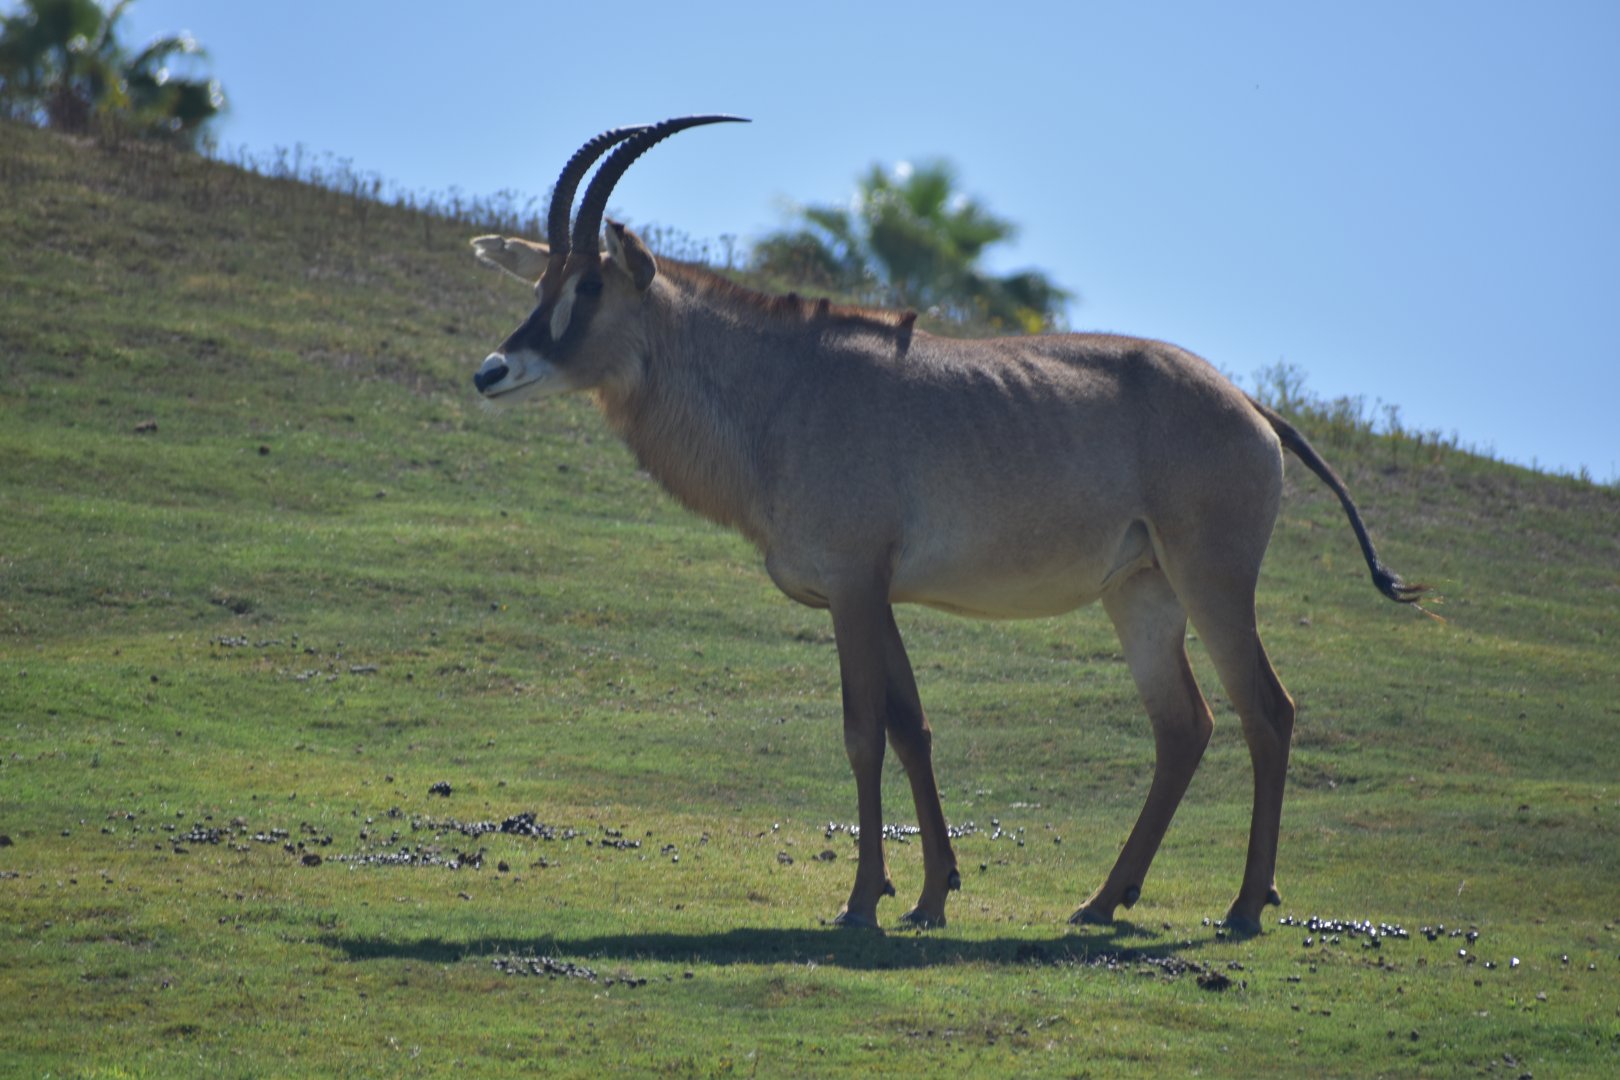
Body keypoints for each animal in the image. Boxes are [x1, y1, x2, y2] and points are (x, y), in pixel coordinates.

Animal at [468, 116, 1429, 934]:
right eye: (543, 281)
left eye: (591, 285)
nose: (491, 371)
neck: (781, 385)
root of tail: (1255, 409)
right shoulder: (871, 595)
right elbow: (911, 726)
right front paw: (931, 895)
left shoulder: (855, 586)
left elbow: (863, 731)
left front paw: (863, 901)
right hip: (1142, 593)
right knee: (1183, 725)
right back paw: (1102, 900)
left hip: (1213, 580)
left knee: (1267, 710)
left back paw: (1241, 909)